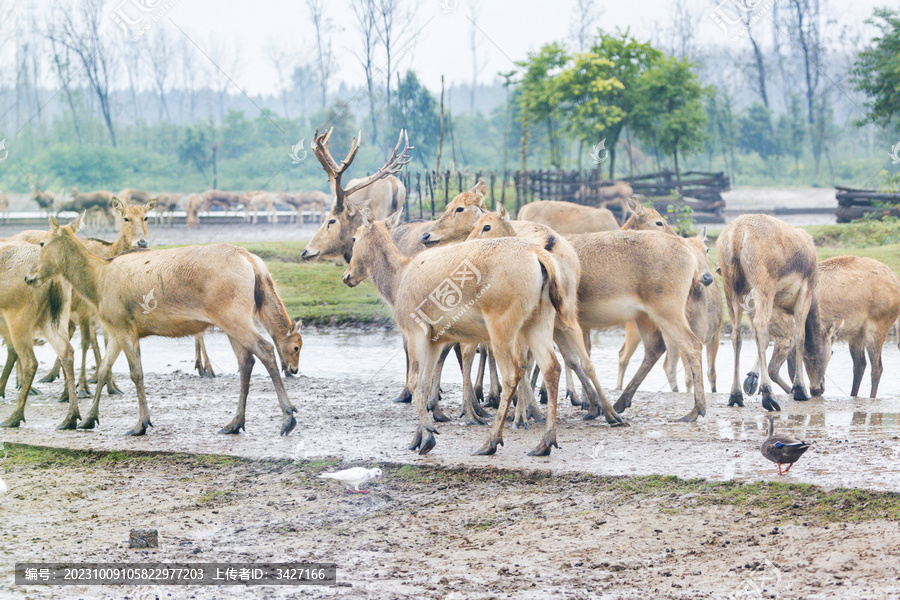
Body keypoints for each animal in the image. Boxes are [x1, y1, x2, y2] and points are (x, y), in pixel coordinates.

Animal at [24, 220, 304, 436]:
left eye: (42, 243)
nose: (28, 276)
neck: (97, 283)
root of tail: (252, 261)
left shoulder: (124, 325)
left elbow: (136, 373)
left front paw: (140, 424)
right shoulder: (115, 329)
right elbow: (103, 370)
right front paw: (88, 420)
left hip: (233, 314)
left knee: (265, 349)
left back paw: (288, 418)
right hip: (233, 320)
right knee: (246, 362)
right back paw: (234, 423)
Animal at [740, 253, 896, 398]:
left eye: (830, 354)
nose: (816, 389)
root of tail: (896, 280)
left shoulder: (787, 335)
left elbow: (779, 369)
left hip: (877, 326)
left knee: (877, 367)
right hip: (857, 333)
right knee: (860, 364)